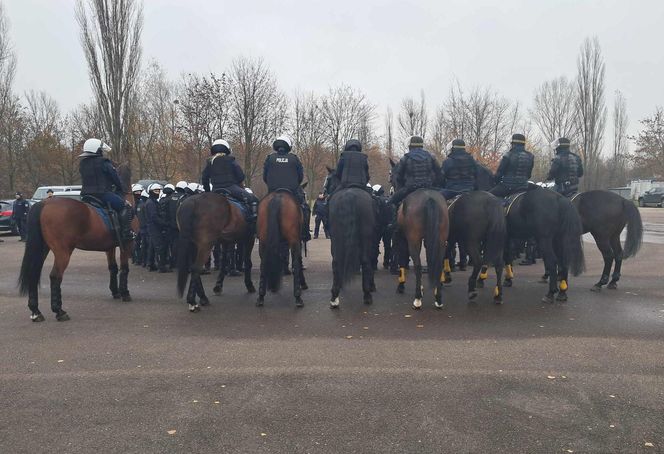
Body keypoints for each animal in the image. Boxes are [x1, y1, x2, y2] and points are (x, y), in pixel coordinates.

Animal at [324, 168, 376, 306]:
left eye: (327, 179)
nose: (324, 192)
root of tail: (350, 195)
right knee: (365, 261)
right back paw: (367, 294)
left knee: (337, 261)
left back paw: (335, 295)